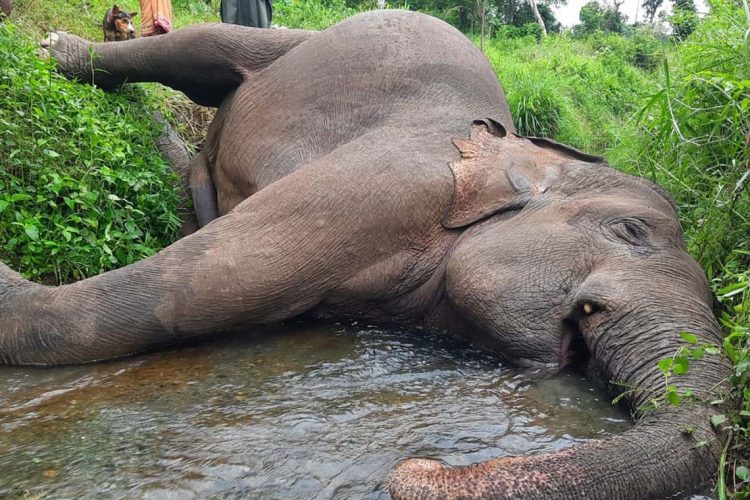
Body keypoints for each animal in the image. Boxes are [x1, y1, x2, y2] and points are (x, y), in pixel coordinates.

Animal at [1, 9, 730, 498]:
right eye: (632, 231)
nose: (415, 465)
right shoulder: (396, 180)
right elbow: (195, 286)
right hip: (299, 41)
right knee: (206, 52)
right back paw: (56, 50)